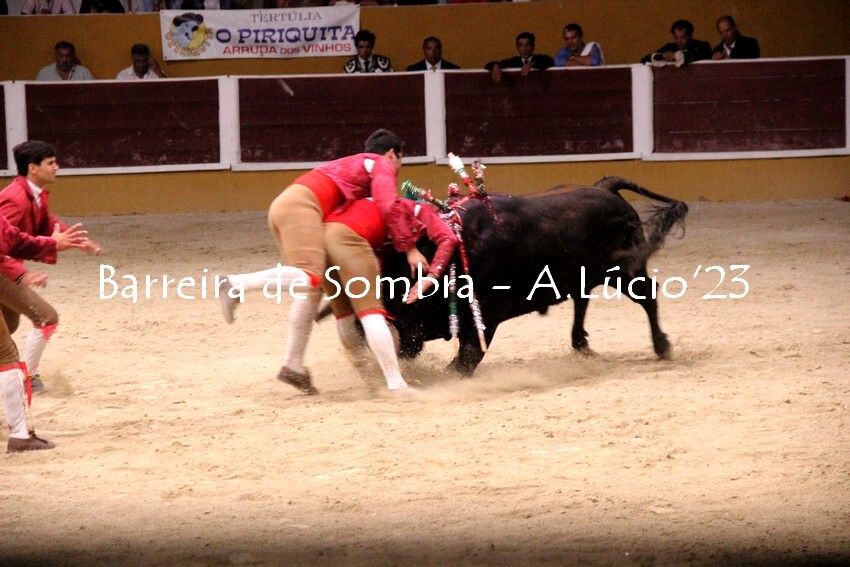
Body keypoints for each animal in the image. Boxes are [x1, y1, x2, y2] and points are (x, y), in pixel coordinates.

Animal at [379, 177, 688, 375]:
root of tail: (604, 188)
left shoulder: (487, 316)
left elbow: (465, 361)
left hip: (626, 270)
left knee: (647, 296)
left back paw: (662, 345)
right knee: (582, 299)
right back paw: (581, 344)